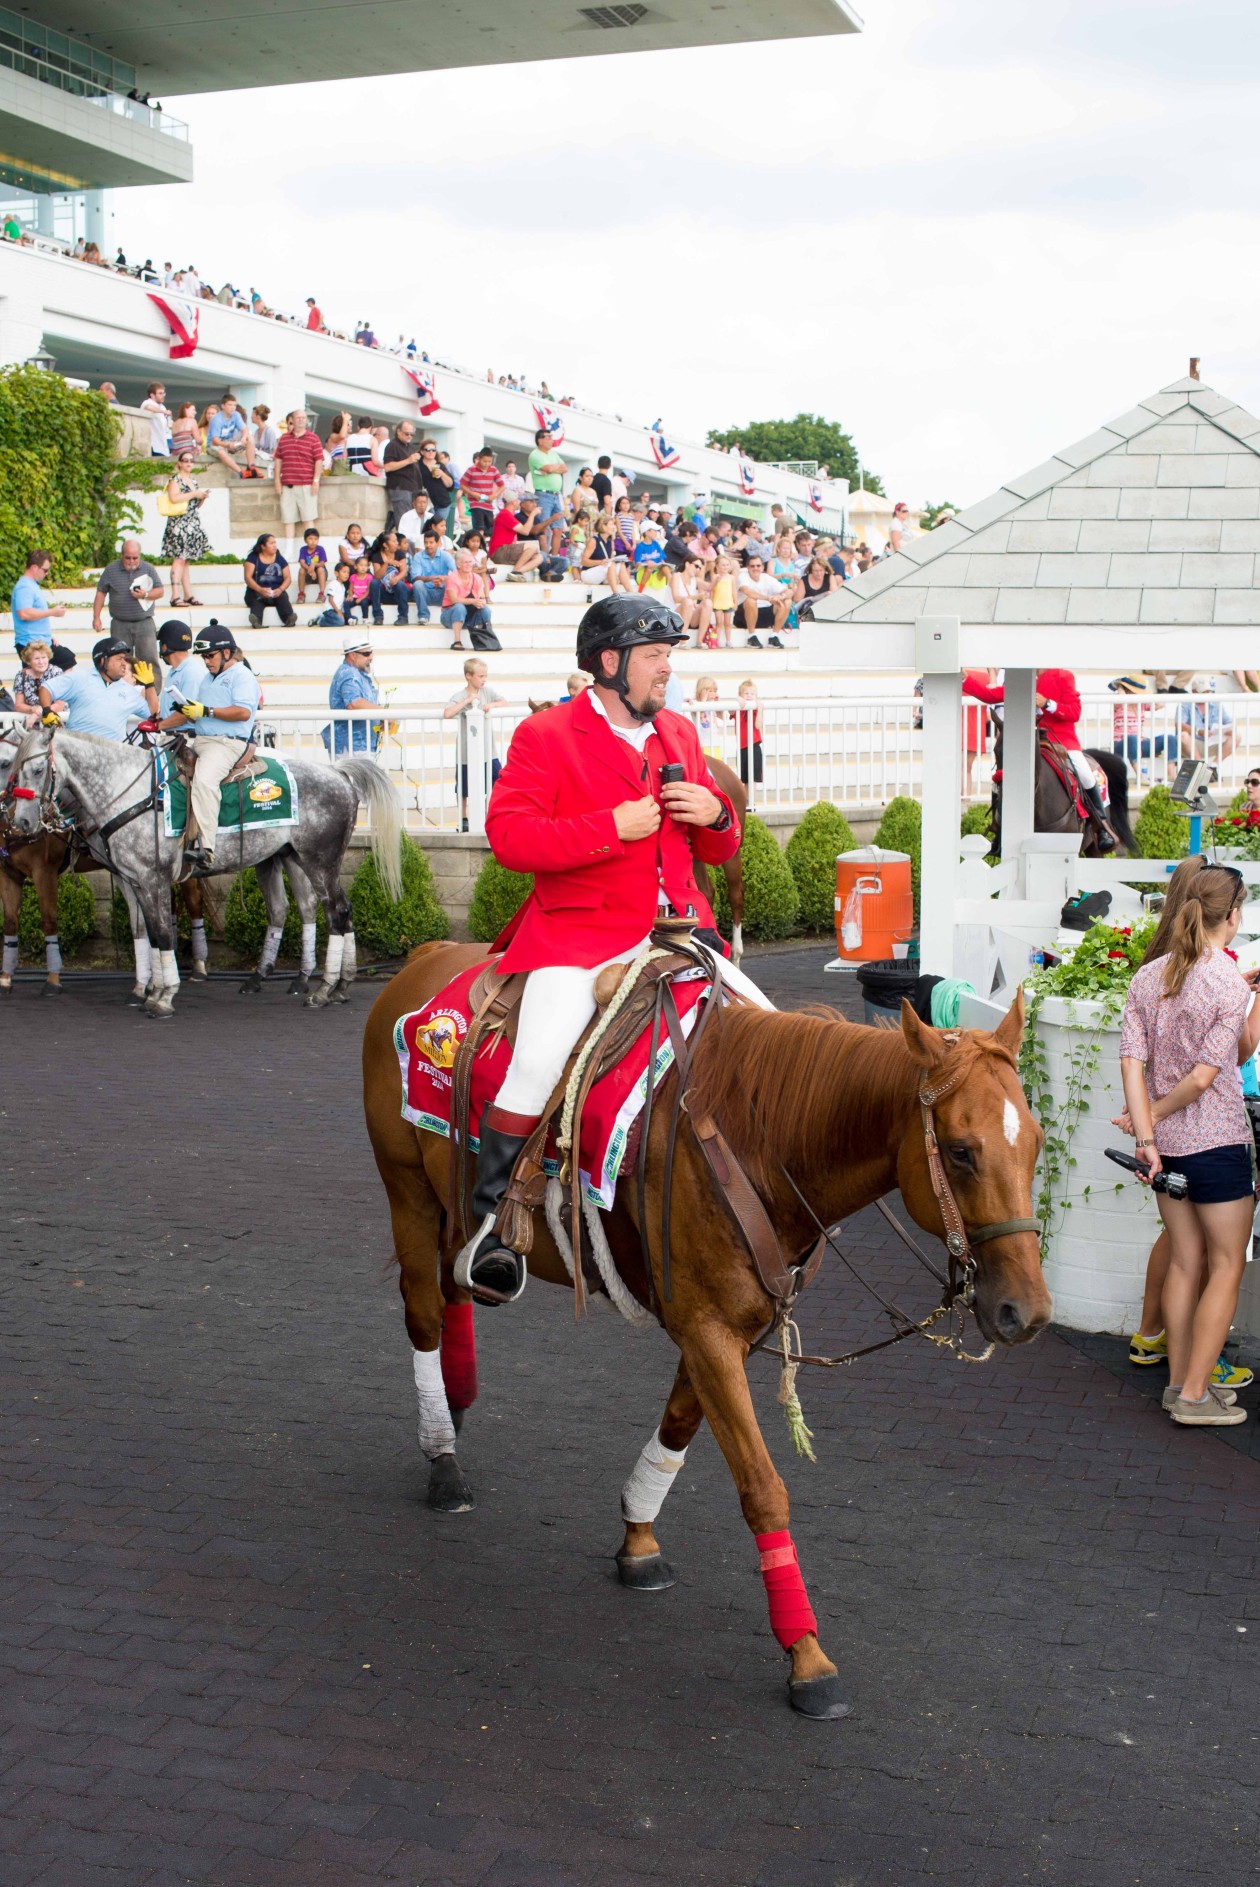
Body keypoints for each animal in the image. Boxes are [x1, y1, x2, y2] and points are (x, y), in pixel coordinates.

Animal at [7, 728, 401, 1018]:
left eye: (37, 770)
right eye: (14, 771)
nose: (22, 823)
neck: (130, 793)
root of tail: (338, 773)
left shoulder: (151, 879)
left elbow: (162, 933)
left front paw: (163, 996)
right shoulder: (133, 881)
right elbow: (146, 933)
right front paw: (151, 989)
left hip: (320, 861)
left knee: (337, 913)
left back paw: (323, 989)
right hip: (288, 857)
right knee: (308, 910)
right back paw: (336, 985)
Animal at [358, 951, 1048, 1720]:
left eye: (1038, 1142)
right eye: (960, 1152)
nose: (1025, 1310)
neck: (753, 1137)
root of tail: (425, 960)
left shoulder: (726, 1330)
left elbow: (679, 1425)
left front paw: (637, 1535)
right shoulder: (708, 1330)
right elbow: (762, 1485)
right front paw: (806, 1654)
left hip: (450, 1210)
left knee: (457, 1289)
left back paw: (458, 1399)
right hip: (408, 1194)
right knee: (424, 1311)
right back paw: (442, 1453)